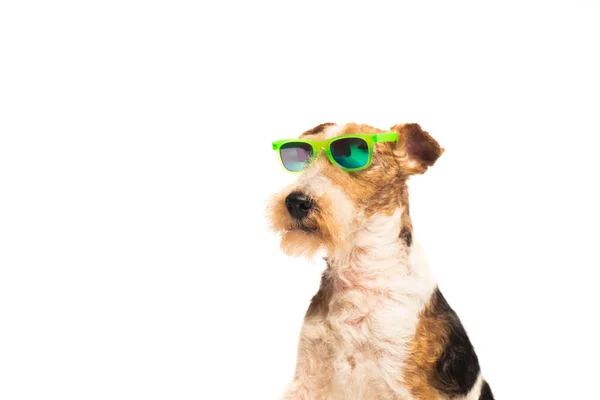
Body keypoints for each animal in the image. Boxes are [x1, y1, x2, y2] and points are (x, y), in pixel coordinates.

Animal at [268, 122, 492, 400]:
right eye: (303, 156)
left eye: (352, 153)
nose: (296, 202)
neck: (359, 269)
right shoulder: (309, 373)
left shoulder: (405, 382)